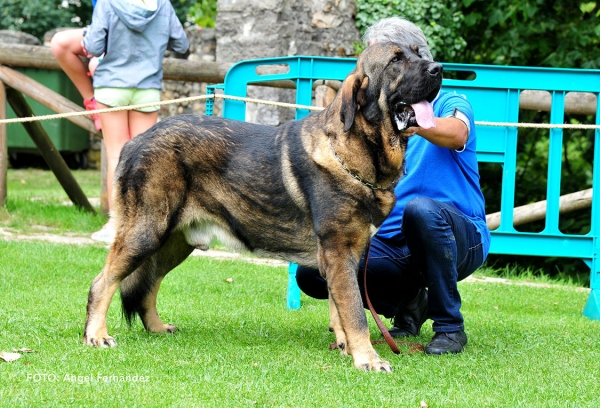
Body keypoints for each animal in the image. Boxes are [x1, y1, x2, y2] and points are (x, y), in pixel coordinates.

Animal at [83, 43, 440, 372]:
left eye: (418, 52)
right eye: (396, 60)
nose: (438, 69)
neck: (354, 151)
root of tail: (136, 141)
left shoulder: (345, 257)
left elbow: (341, 308)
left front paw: (346, 347)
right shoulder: (339, 253)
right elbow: (355, 311)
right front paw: (368, 359)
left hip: (173, 242)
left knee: (148, 285)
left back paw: (156, 328)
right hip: (146, 233)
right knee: (103, 282)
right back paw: (96, 335)